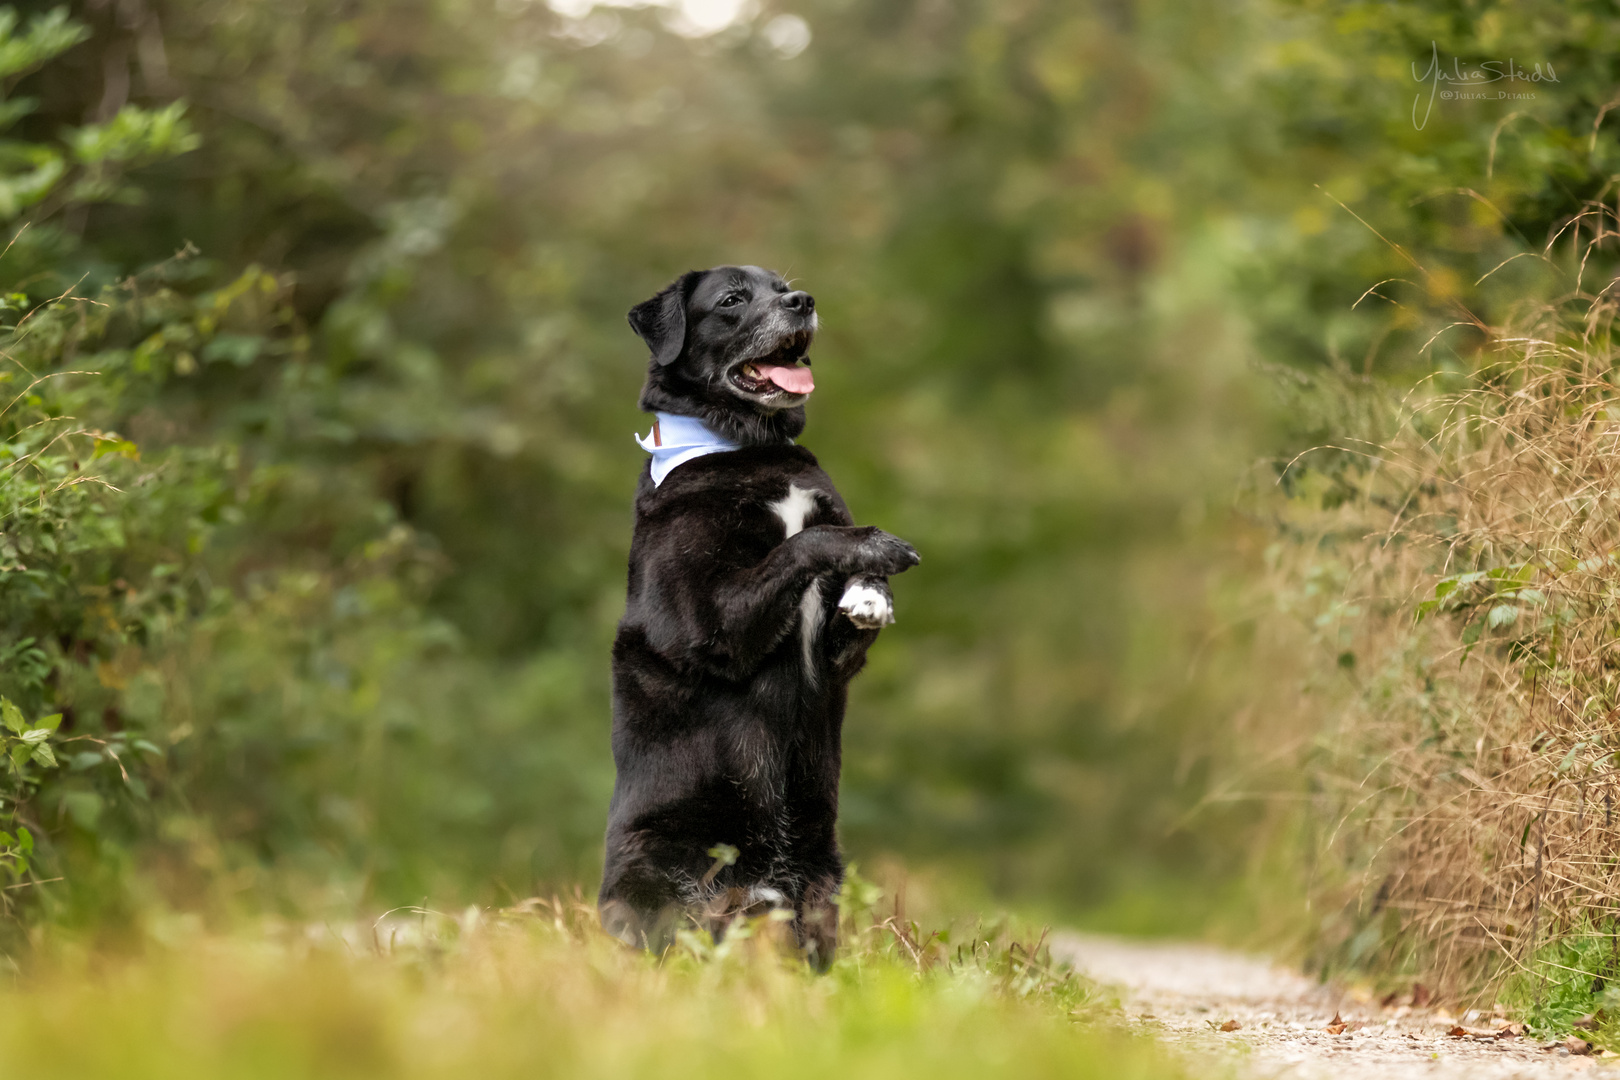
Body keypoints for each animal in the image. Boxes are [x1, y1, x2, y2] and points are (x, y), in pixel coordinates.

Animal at [599, 263, 926, 971]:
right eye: (731, 300)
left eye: (785, 286)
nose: (803, 302)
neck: (749, 447)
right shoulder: (710, 621)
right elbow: (807, 541)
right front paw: (878, 546)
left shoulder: (835, 657)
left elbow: (836, 571)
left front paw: (870, 593)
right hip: (657, 871)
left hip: (821, 882)